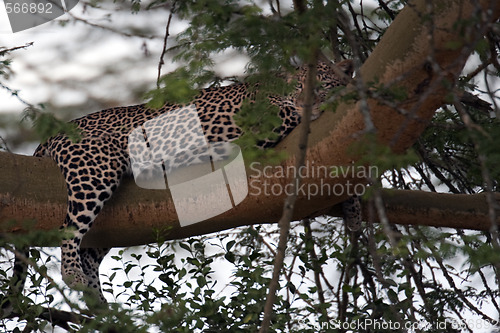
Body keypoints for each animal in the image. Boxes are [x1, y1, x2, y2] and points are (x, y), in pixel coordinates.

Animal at [17, 57, 358, 304]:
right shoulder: (266, 121)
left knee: (90, 252)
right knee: (69, 229)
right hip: (95, 168)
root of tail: (55, 134)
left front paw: (354, 214)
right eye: (299, 86)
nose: (304, 102)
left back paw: (101, 306)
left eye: (322, 84)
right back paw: (72, 274)